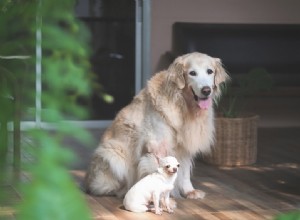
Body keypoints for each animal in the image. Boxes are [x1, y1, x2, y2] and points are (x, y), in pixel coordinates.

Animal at [84, 52, 230, 199]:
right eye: (192, 73)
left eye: (210, 71)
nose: (206, 90)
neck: (182, 105)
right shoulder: (157, 147)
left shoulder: (185, 147)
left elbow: (185, 172)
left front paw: (189, 191)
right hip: (112, 154)